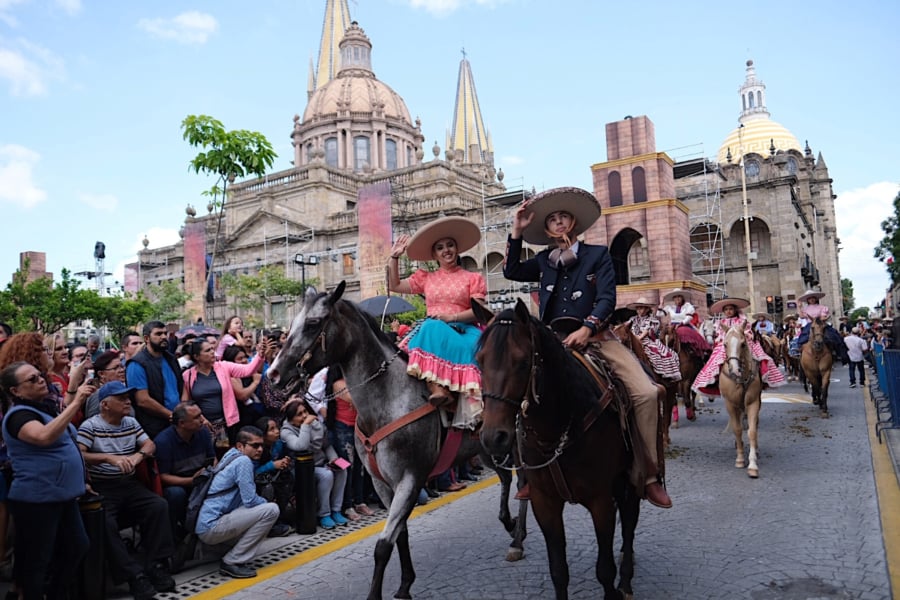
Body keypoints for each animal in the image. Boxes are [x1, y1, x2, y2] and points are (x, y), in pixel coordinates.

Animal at [268, 284, 532, 600]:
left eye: (313, 323)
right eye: (292, 323)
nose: (273, 373)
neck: (389, 399)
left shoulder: (410, 478)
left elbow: (383, 546)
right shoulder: (382, 482)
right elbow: (400, 534)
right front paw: (405, 584)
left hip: (516, 444)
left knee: (523, 484)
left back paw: (517, 539)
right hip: (486, 447)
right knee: (505, 479)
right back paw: (509, 523)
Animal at [474, 302, 644, 596]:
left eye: (522, 362)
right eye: (480, 361)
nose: (493, 437)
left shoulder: (600, 501)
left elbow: (605, 570)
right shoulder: (545, 503)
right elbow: (558, 572)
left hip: (632, 478)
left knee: (630, 521)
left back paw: (626, 579)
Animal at [716, 324, 760, 478]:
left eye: (743, 344)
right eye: (725, 344)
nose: (735, 370)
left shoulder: (753, 403)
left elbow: (752, 432)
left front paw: (753, 465)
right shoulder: (731, 404)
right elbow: (737, 429)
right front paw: (740, 459)